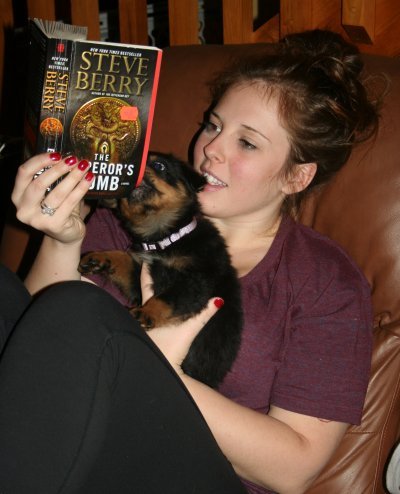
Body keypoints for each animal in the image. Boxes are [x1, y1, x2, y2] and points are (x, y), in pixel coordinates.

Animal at [79, 153, 243, 388]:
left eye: (159, 165)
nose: (132, 173)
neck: (163, 239)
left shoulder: (197, 280)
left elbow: (166, 298)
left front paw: (145, 312)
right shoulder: (139, 276)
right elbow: (123, 259)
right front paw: (98, 258)